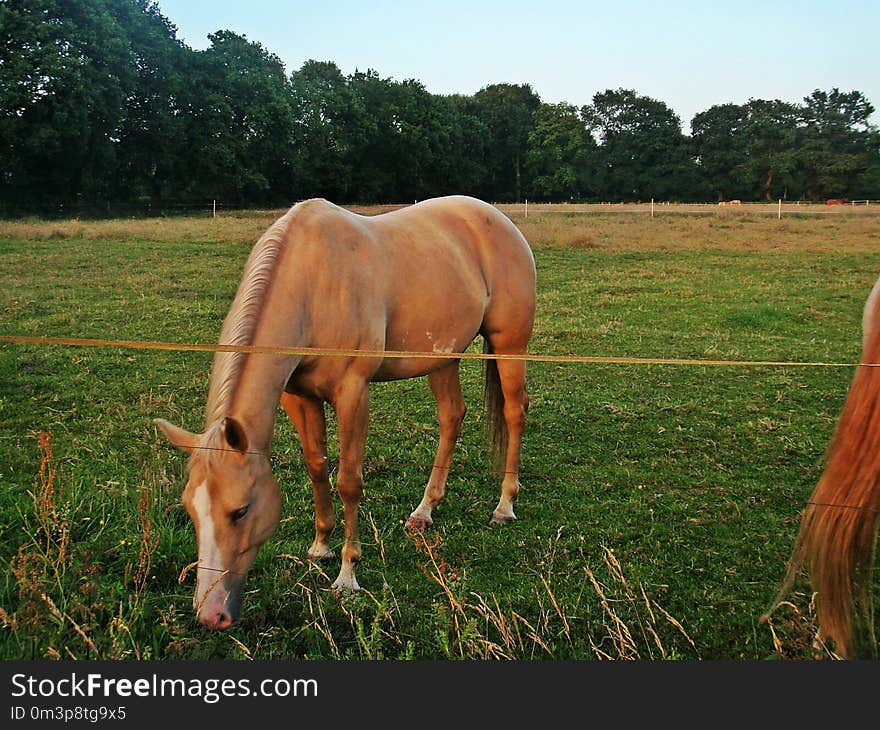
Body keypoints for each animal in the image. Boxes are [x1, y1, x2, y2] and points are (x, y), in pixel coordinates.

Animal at [154, 196, 536, 628]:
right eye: (191, 509)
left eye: (240, 511)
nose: (210, 613)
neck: (311, 282)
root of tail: (499, 219)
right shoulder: (299, 398)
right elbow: (317, 467)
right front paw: (320, 545)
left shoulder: (353, 393)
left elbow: (349, 482)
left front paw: (347, 575)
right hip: (442, 358)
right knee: (451, 417)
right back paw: (424, 510)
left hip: (510, 345)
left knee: (514, 412)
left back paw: (504, 506)